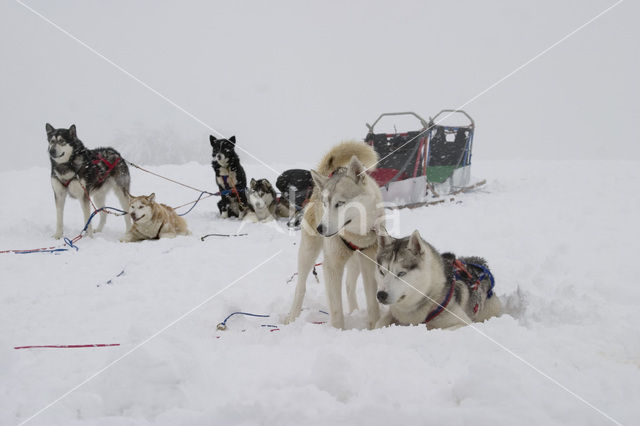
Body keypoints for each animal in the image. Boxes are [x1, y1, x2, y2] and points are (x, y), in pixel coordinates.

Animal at [286, 141, 384, 330]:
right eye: (325, 204)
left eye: (340, 203)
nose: (320, 229)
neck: (357, 234)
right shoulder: (332, 265)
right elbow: (336, 308)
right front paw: (338, 330)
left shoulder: (369, 262)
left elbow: (372, 303)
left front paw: (375, 326)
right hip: (308, 252)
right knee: (300, 287)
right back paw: (291, 317)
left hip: (355, 261)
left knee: (349, 286)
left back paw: (354, 312)